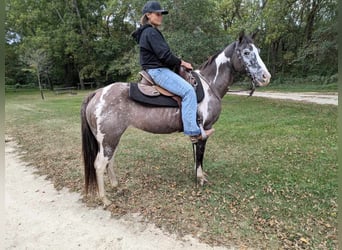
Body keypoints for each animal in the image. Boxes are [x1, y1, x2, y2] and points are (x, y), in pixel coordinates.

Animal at [80, 31, 270, 205]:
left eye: (259, 50)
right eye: (246, 52)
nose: (266, 77)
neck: (210, 85)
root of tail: (97, 93)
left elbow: (197, 155)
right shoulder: (205, 129)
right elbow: (200, 155)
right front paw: (201, 178)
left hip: (111, 138)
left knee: (109, 161)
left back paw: (116, 186)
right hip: (108, 138)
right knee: (100, 164)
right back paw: (105, 199)